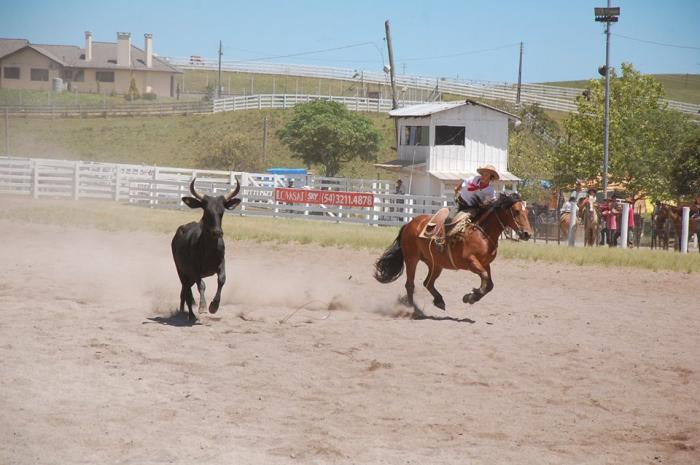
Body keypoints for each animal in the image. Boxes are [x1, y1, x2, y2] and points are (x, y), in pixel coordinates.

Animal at [171, 176, 242, 320]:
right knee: (186, 291)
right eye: (207, 211)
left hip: (189, 277)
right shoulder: (194, 269)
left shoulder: (221, 263)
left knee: (184, 292)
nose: (217, 232)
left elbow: (222, 280)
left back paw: (182, 311)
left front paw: (214, 306)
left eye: (222, 212)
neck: (209, 250)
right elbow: (202, 285)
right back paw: (190, 315)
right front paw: (203, 306)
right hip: (182, 272)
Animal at [374, 190, 532, 314]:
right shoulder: (471, 261)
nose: (527, 234)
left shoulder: (485, 263)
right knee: (410, 284)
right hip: (411, 259)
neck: (482, 233)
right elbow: (485, 277)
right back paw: (414, 310)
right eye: (516, 211)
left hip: (435, 264)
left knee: (428, 283)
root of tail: (409, 224)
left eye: (527, 212)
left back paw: (439, 301)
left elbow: (489, 284)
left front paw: (471, 296)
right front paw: (471, 296)